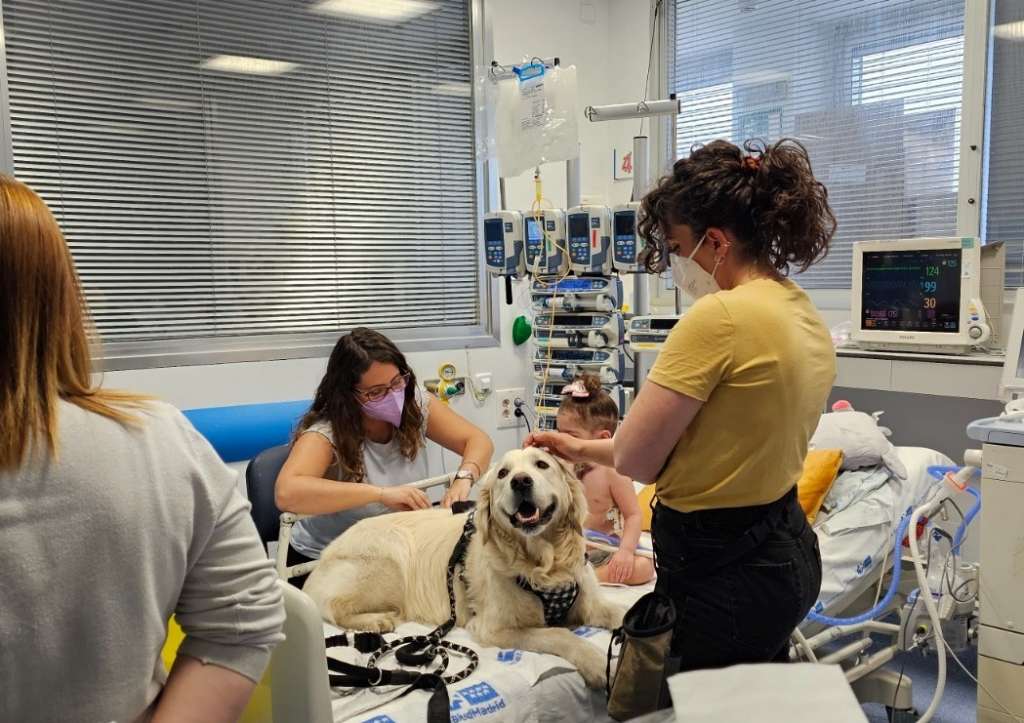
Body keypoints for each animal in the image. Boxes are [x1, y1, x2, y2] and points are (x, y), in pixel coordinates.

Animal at [299, 444, 626, 688]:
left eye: (542, 464)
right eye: (503, 474)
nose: (520, 481)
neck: (543, 563)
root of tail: (321, 559)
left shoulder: (589, 602)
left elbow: (623, 612)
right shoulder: (494, 627)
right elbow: (560, 634)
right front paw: (597, 662)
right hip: (390, 558)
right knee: (335, 606)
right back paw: (377, 620)